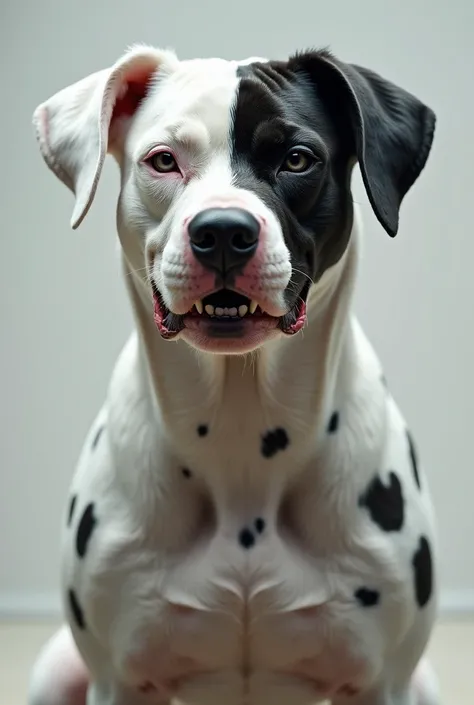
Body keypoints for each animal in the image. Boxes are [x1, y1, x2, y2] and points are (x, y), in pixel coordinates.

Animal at [30, 45, 440, 704]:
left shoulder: (385, 681)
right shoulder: (117, 678)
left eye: (297, 158)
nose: (223, 230)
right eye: (163, 160)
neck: (242, 435)